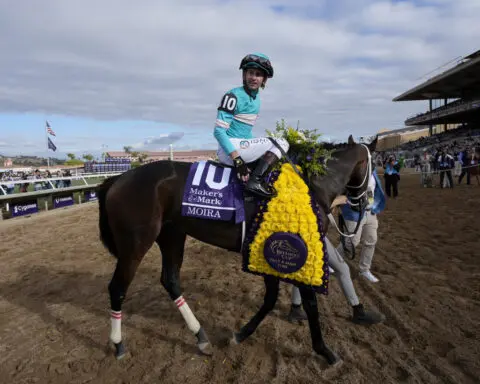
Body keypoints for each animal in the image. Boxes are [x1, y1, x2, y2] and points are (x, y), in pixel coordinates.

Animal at [96, 134, 376, 366]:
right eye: (373, 168)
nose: (364, 202)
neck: (306, 184)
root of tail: (117, 179)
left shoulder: (271, 252)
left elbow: (272, 298)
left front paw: (241, 334)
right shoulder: (288, 248)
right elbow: (308, 303)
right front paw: (325, 351)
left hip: (172, 235)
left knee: (170, 280)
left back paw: (200, 336)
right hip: (135, 243)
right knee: (117, 288)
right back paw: (119, 344)